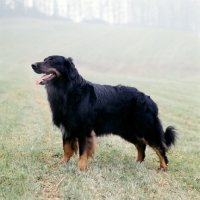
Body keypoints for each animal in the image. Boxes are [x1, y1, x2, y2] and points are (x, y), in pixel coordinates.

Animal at [31, 55, 177, 170]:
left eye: (51, 60)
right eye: (44, 59)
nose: (33, 65)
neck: (68, 89)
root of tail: (149, 99)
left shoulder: (84, 130)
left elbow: (83, 151)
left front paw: (80, 168)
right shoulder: (67, 128)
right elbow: (67, 148)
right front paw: (62, 163)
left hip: (146, 129)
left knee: (160, 148)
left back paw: (163, 167)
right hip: (128, 131)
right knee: (141, 145)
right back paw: (137, 163)